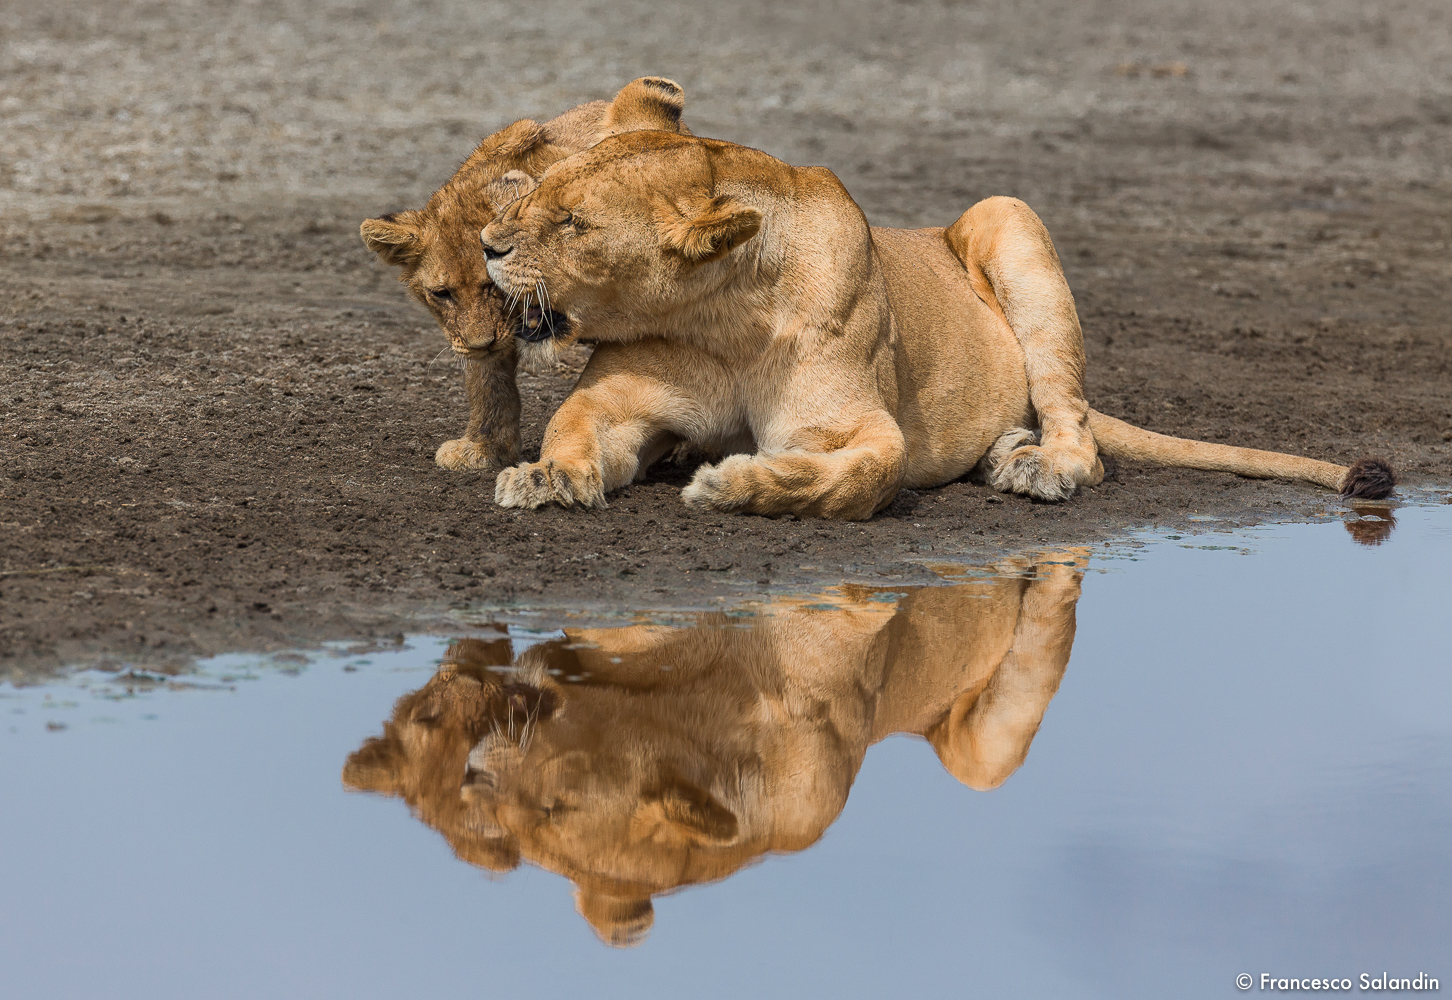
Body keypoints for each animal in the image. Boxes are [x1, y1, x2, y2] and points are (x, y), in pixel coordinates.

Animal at [478, 131, 1395, 518]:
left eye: (573, 225)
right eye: (536, 194)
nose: (487, 245)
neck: (724, 314)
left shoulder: (861, 426)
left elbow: (859, 473)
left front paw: (734, 485)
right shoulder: (615, 403)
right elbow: (572, 423)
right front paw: (546, 478)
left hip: (1008, 214)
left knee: (1079, 430)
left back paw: (1037, 468)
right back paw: (1006, 451)